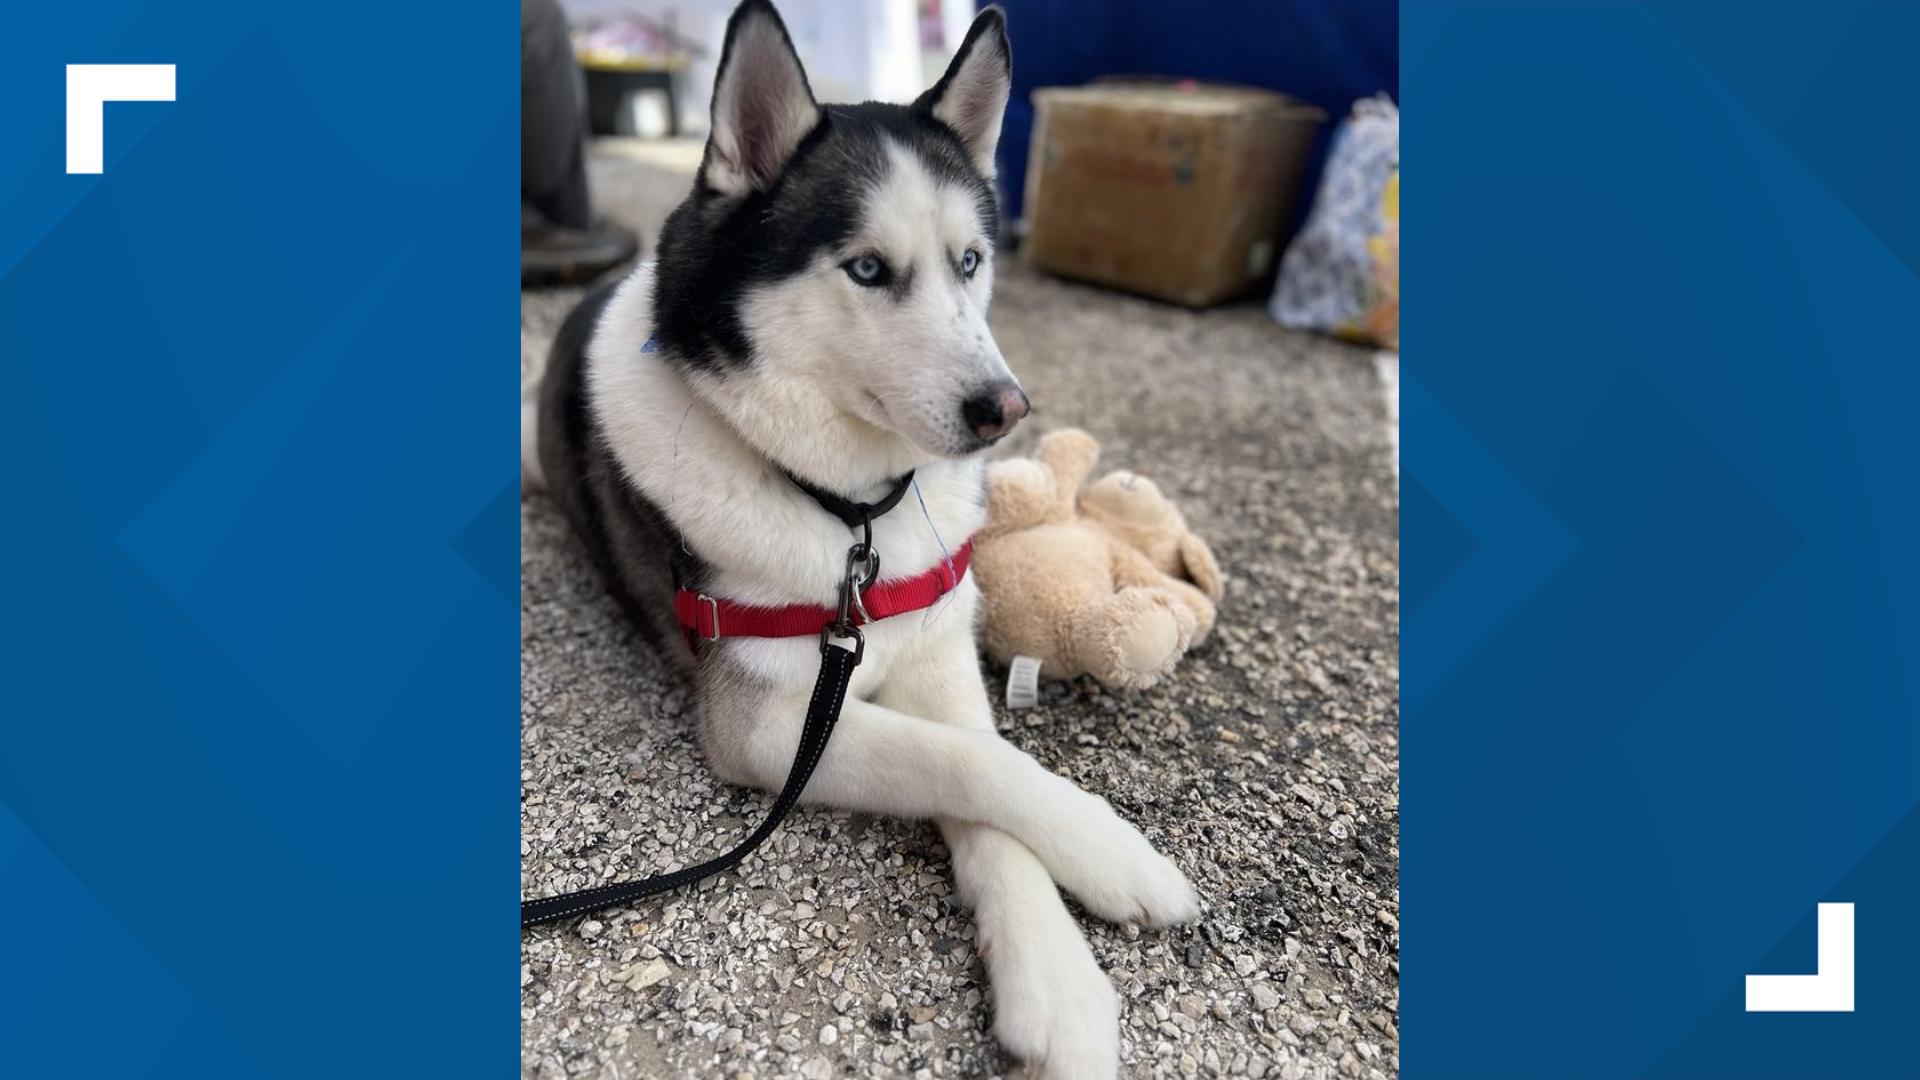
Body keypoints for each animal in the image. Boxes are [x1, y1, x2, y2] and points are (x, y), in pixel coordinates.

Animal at [518, 4, 1190, 1068]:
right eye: (868, 269)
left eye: (971, 262)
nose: (1007, 409)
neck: (850, 517)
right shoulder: (761, 727)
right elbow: (970, 763)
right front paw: (1118, 856)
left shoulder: (937, 650)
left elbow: (979, 767)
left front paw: (1052, 977)